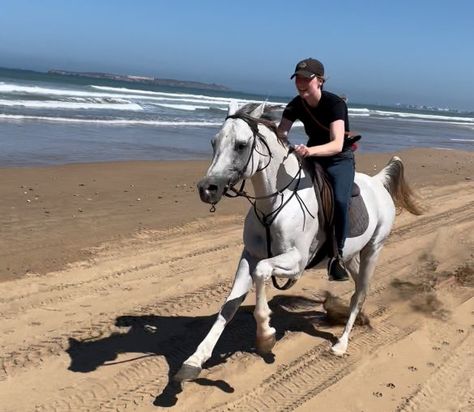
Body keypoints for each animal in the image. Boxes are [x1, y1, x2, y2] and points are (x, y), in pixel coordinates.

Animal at [174, 101, 422, 382]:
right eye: (214, 142)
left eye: (240, 144)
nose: (207, 189)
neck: (275, 203)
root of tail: (378, 182)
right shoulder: (249, 256)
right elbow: (229, 305)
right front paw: (195, 360)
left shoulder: (296, 263)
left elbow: (262, 274)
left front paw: (266, 337)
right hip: (350, 256)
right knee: (358, 289)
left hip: (374, 249)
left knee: (360, 293)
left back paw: (341, 344)